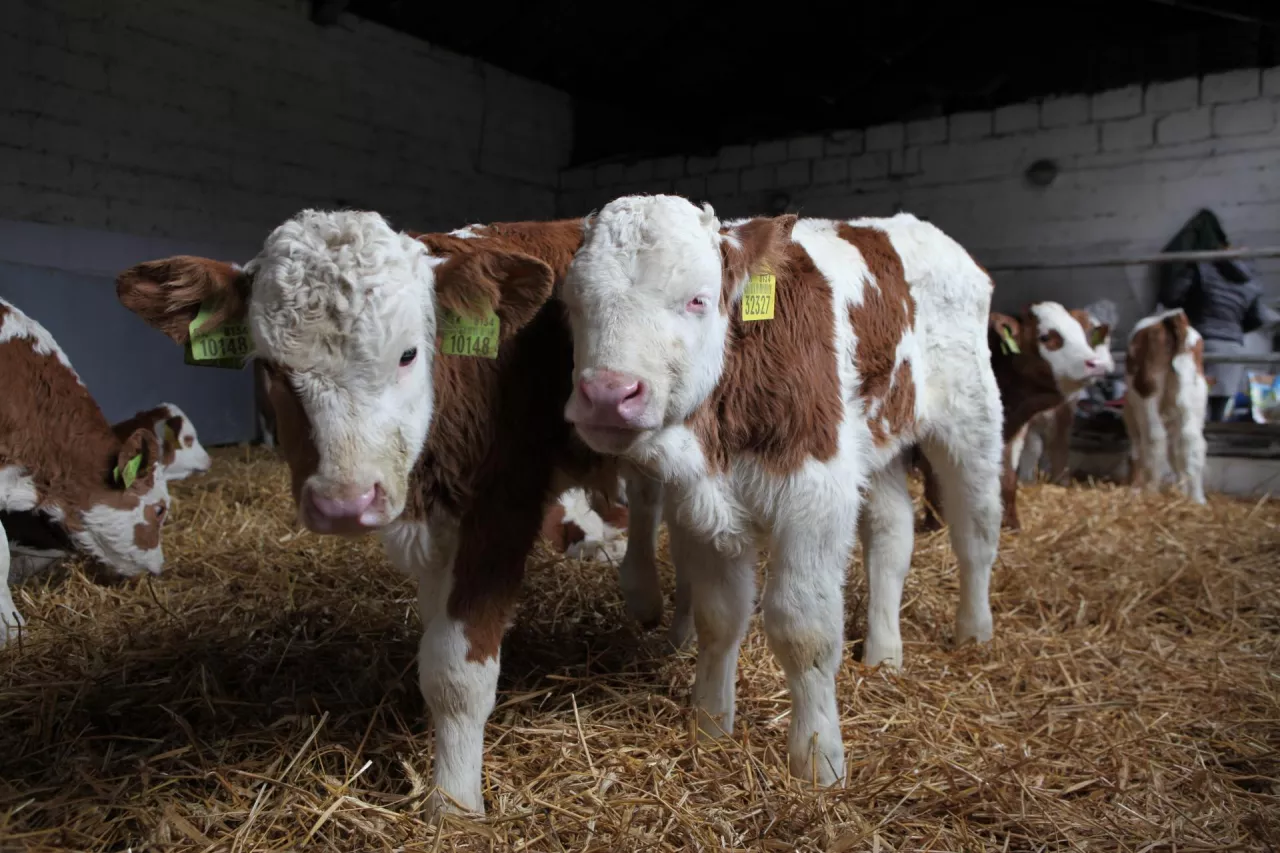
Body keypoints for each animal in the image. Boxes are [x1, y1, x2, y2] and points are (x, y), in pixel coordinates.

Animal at [116, 208, 670, 814]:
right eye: (269, 366)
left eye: (408, 354)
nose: (344, 502)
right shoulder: (436, 531)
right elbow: (433, 653)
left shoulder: (502, 509)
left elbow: (459, 674)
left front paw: (454, 804)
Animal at [560, 192, 1008, 783]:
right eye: (573, 303)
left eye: (698, 299)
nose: (610, 394)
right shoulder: (705, 504)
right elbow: (719, 617)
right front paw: (711, 724)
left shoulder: (815, 495)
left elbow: (804, 630)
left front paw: (818, 758)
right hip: (875, 441)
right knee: (891, 534)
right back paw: (884, 651)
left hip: (970, 416)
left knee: (976, 529)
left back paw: (974, 632)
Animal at [921, 302, 1111, 527]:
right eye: (1045, 337)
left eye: (1083, 334)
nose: (1095, 364)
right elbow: (935, 481)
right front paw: (935, 525)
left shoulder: (1013, 433)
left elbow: (1008, 479)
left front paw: (1011, 523)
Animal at [1121, 307, 1208, 502]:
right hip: (1196, 394)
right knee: (1192, 441)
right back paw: (1197, 499)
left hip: (1147, 392)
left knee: (1155, 437)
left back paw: (1151, 490)